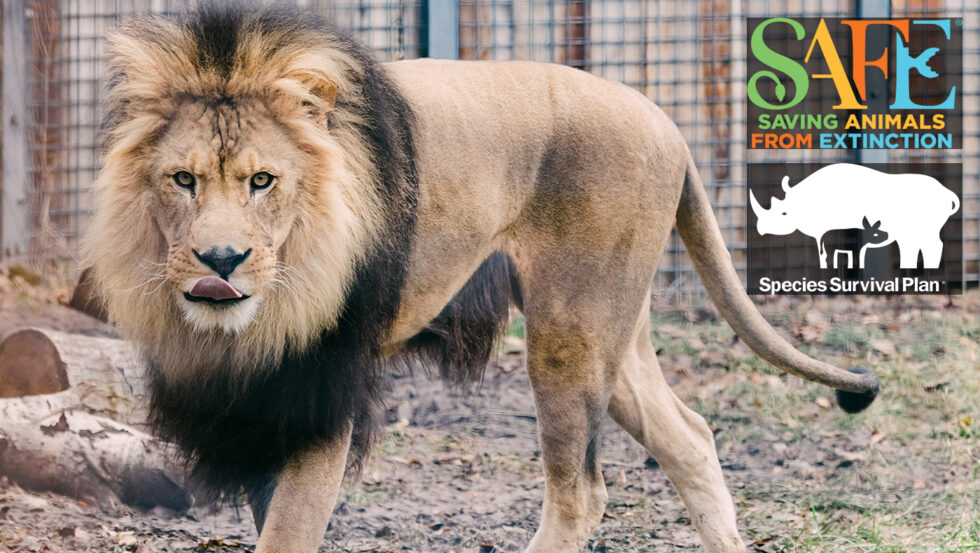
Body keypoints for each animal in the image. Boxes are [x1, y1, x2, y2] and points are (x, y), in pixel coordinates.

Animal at [80, 4, 879, 553]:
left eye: (262, 181)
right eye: (183, 180)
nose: (221, 260)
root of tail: (668, 124)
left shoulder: (322, 392)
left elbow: (288, 533)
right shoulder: (252, 403)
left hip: (569, 332)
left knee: (581, 494)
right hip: (614, 329)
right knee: (689, 436)